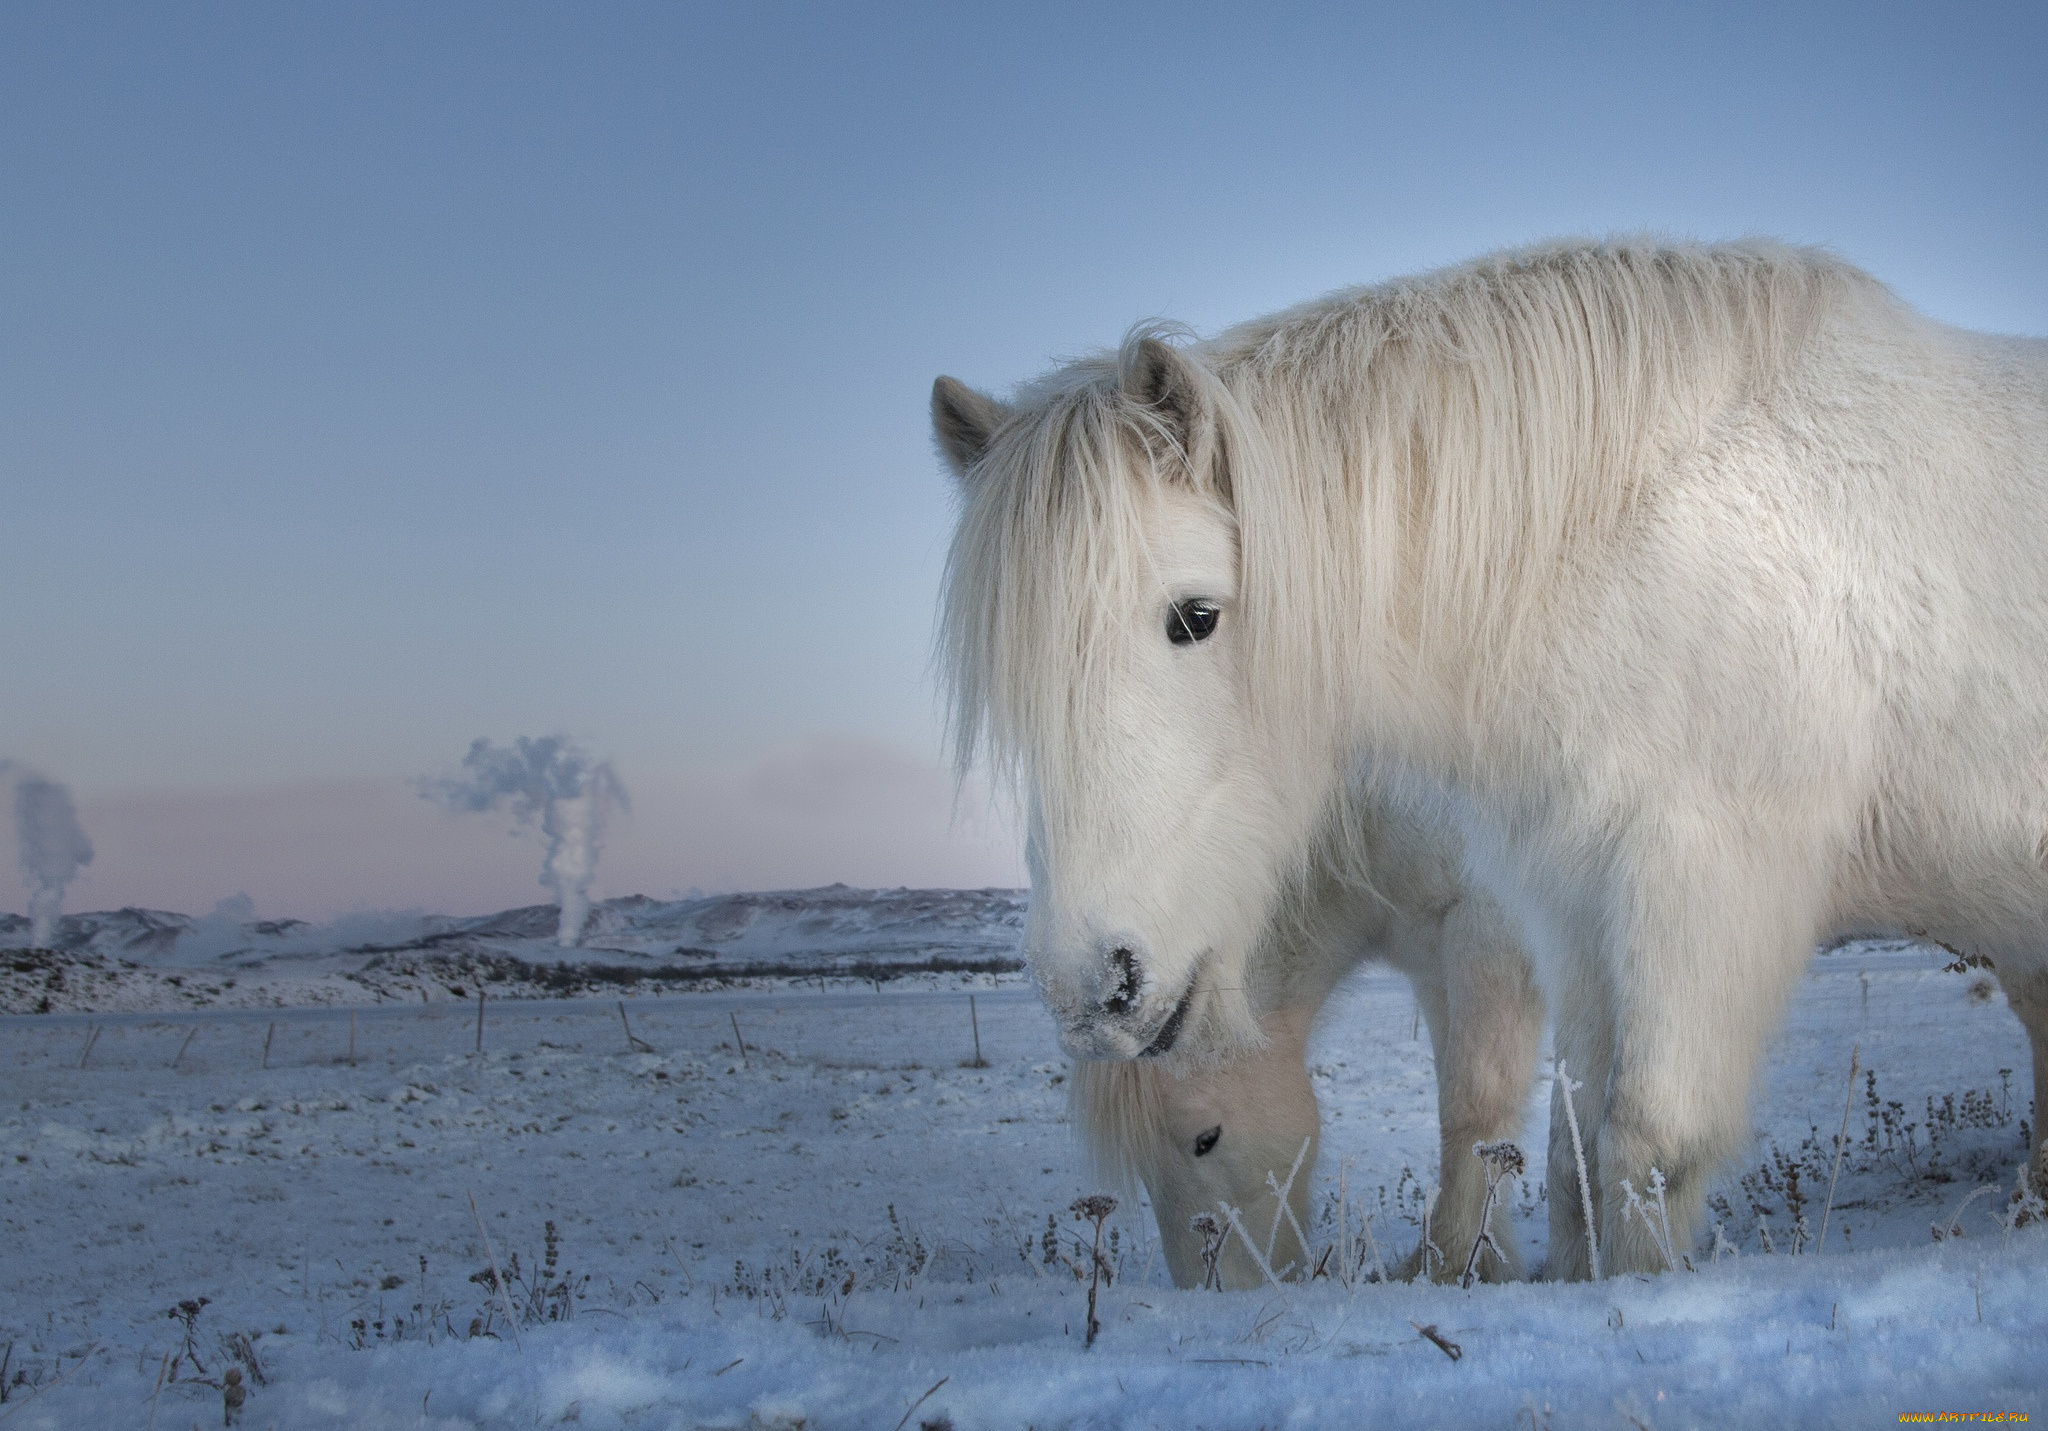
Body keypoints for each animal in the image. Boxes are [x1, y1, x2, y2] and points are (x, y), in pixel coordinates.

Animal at [937, 240, 2048, 1285]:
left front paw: (1506, 1275)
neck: (1629, 527)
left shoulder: (1675, 891)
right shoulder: (1575, 902)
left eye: (1194, 616)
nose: (1093, 985)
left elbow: (1620, 1135)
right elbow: (1571, 1147)